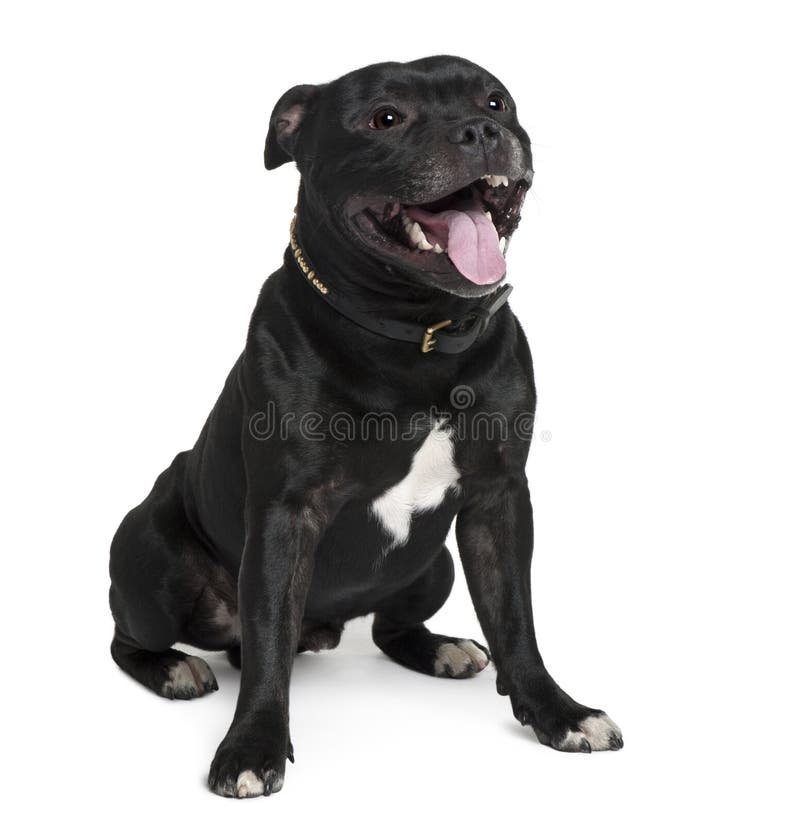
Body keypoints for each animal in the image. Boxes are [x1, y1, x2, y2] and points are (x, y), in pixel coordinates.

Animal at [108, 53, 620, 800]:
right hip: (150, 561)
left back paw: (440, 648)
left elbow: (516, 617)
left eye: (496, 101)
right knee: (137, 637)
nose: (480, 131)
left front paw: (558, 712)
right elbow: (267, 644)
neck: (417, 336)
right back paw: (174, 667)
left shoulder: (498, 500)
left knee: (388, 628)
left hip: (434, 564)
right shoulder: (287, 514)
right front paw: (252, 746)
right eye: (385, 118)